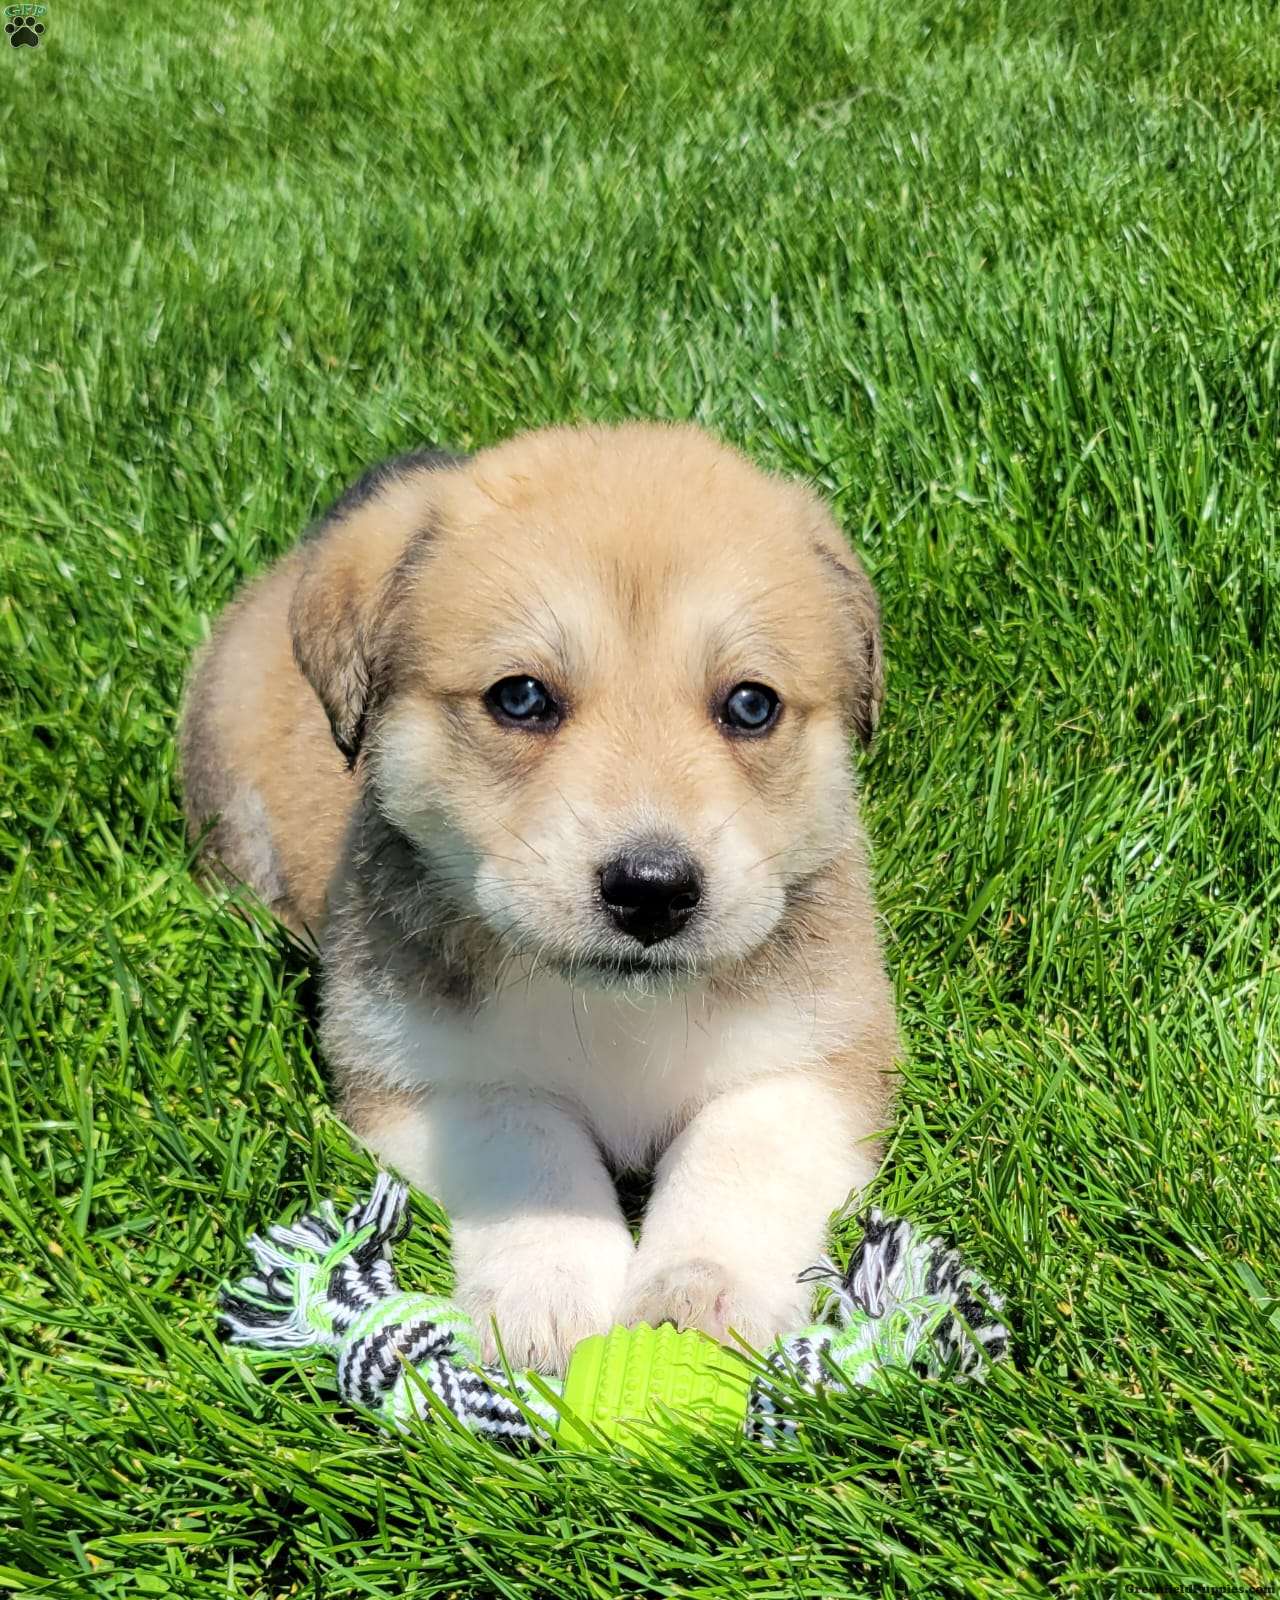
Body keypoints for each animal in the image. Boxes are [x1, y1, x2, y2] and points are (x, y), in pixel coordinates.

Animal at [182, 425, 902, 1376]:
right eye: (520, 697)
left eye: (752, 705)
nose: (652, 892)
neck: (613, 1015)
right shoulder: (420, 1073)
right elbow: (531, 1147)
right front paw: (549, 1296)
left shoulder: (823, 1056)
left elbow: (739, 1154)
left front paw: (701, 1298)